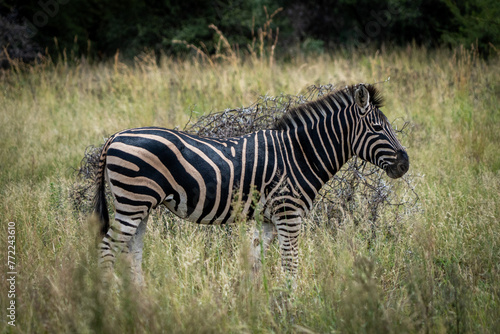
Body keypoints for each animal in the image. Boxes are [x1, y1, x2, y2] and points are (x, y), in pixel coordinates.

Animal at [94, 84, 410, 284]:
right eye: (378, 128)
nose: (405, 163)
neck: (300, 154)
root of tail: (115, 136)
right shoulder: (289, 214)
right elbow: (290, 265)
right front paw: (289, 309)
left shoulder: (268, 219)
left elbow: (255, 263)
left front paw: (252, 304)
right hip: (133, 200)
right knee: (107, 249)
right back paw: (109, 303)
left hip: (141, 205)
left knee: (132, 252)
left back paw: (141, 302)